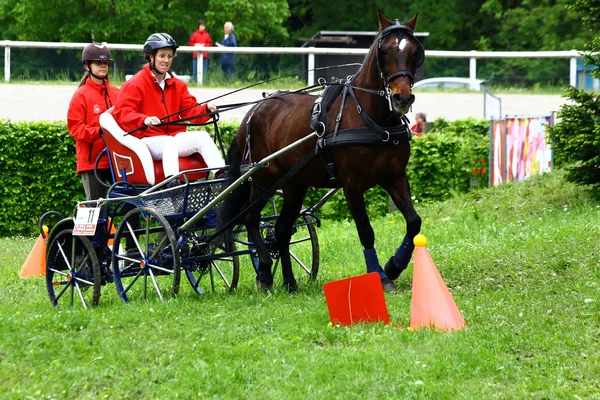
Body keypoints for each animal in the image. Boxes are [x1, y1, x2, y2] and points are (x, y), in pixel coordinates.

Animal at [219, 8, 422, 290]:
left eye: (414, 51)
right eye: (384, 51)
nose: (402, 97)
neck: (372, 118)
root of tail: (252, 112)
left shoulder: (394, 176)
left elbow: (414, 222)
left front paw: (394, 265)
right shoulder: (352, 184)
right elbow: (366, 232)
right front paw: (380, 276)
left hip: (294, 184)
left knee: (282, 230)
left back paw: (290, 282)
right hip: (262, 179)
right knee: (250, 219)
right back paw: (265, 273)